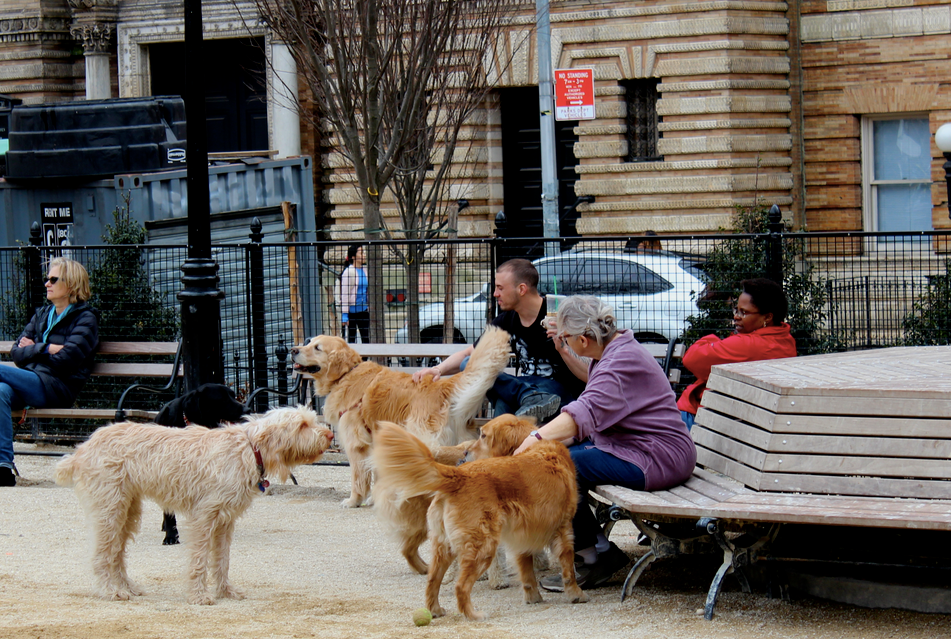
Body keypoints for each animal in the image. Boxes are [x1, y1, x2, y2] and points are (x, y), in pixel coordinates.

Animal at [54, 404, 334, 604]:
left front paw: (225, 591)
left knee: (117, 553)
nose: (330, 434)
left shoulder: (225, 521)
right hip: (110, 511)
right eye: (302, 425)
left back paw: (126, 587)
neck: (247, 449)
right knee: (102, 555)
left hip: (128, 511)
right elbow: (200, 559)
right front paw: (199, 596)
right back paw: (109, 591)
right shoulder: (204, 518)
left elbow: (222, 560)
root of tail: (83, 448)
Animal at [292, 324, 510, 510]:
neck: (346, 375)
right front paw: (375, 499)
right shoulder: (374, 439)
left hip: (420, 433)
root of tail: (440, 385)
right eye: (308, 342)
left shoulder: (356, 443)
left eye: (317, 348)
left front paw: (354, 500)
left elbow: (358, 477)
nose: (293, 350)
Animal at [372, 422, 588, 624]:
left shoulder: (524, 537)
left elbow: (527, 574)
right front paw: (576, 594)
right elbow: (568, 569)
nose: (465, 452)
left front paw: (533, 597)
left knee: (432, 580)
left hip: (445, 546)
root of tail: (459, 475)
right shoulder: (564, 530)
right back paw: (472, 615)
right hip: (482, 547)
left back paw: (435, 610)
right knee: (461, 586)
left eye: (483, 436)